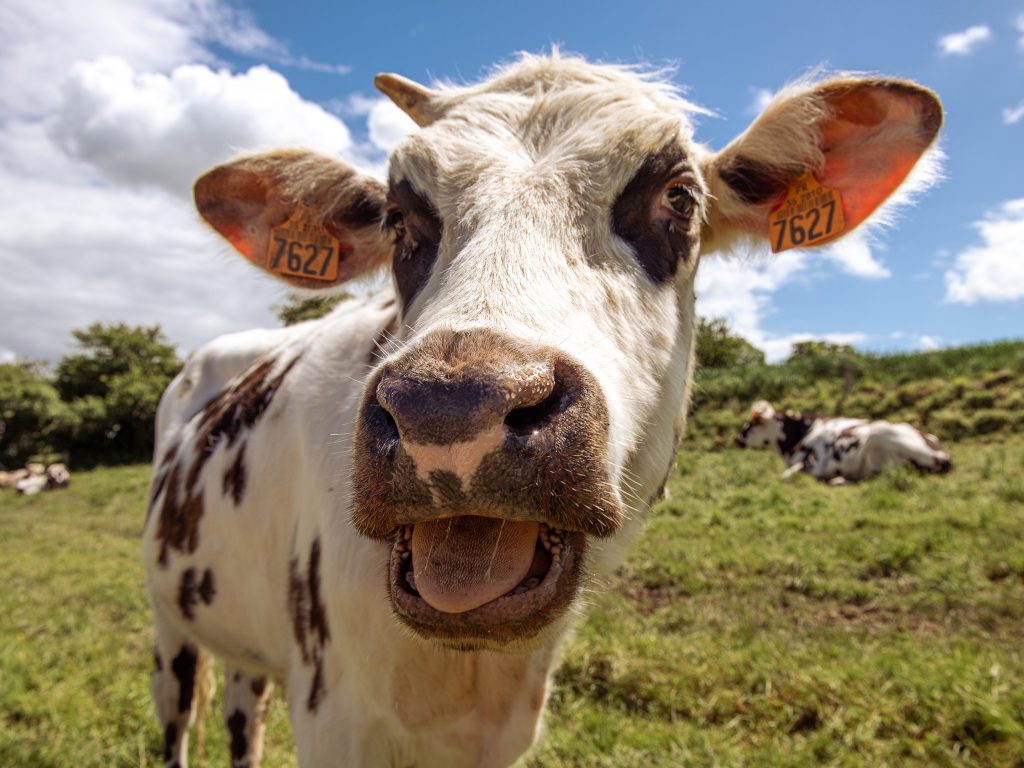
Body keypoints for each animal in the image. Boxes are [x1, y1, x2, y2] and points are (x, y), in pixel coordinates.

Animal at [735, 400, 951, 484]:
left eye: (750, 424)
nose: (736, 438)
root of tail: (942, 454)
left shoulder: (813, 462)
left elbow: (785, 476)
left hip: (879, 438)